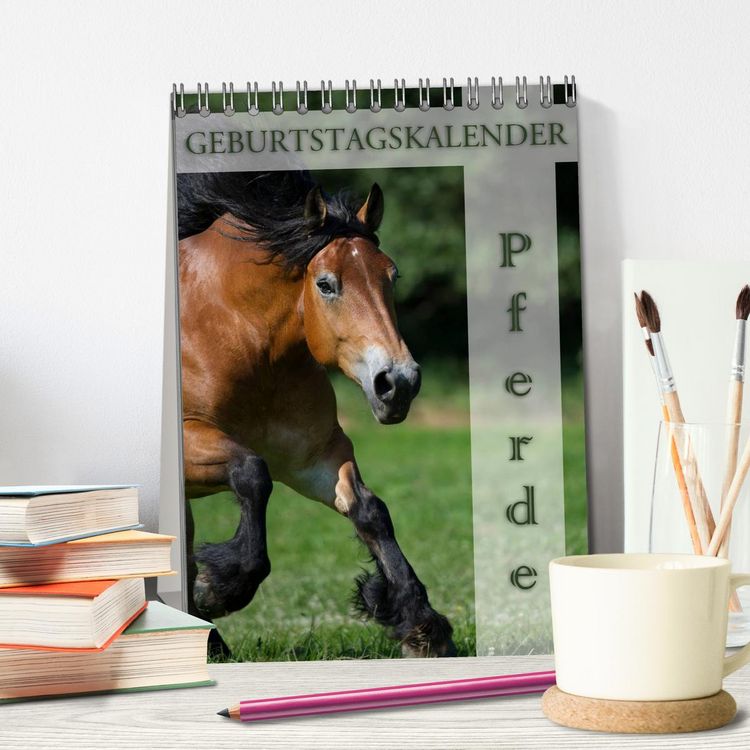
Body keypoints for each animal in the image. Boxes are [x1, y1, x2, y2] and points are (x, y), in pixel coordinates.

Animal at [176, 170, 456, 658]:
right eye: (325, 284)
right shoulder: (193, 443)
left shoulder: (313, 458)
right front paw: (217, 588)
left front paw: (422, 627)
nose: (398, 383)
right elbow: (252, 473)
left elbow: (369, 510)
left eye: (392, 276)